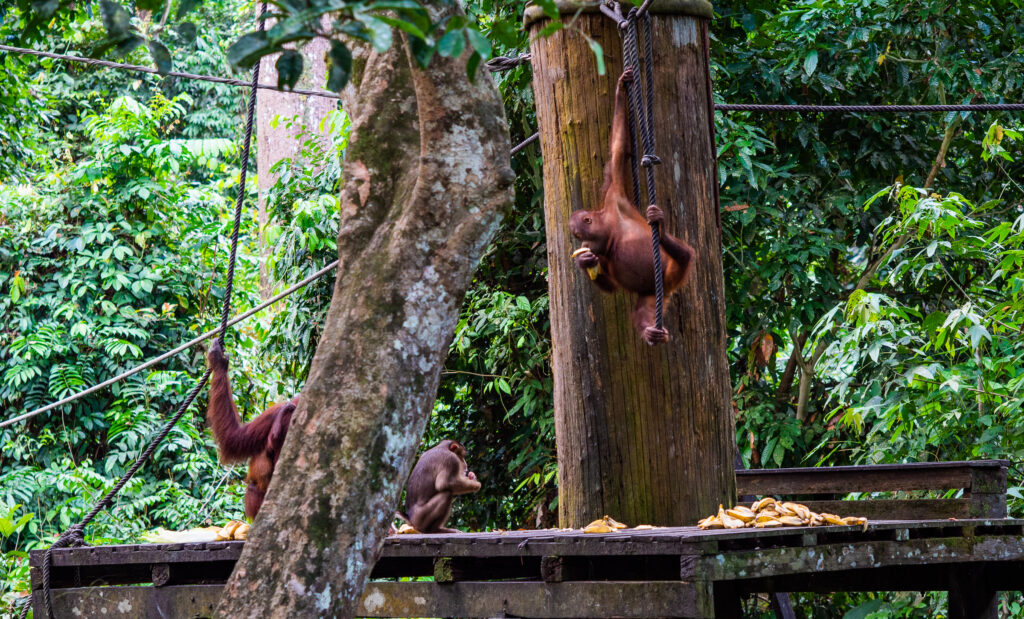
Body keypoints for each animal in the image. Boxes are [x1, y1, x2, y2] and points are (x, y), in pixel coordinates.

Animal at [569, 67, 696, 345]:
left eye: (579, 234)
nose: (583, 245)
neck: (609, 228)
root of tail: (670, 286)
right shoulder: (603, 255)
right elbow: (610, 284)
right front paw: (583, 262)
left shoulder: (615, 195)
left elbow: (617, 150)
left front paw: (621, 88)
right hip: (652, 293)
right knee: (641, 312)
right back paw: (651, 332)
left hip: (669, 271)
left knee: (685, 255)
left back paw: (662, 230)